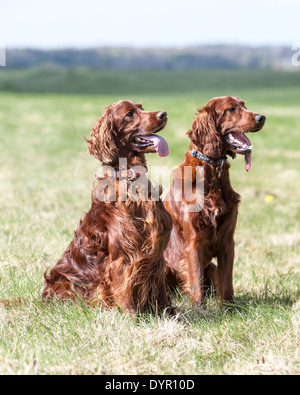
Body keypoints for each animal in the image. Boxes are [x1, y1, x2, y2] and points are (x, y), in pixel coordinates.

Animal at [43, 101, 172, 316]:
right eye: (129, 114)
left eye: (141, 107)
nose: (163, 114)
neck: (131, 179)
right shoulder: (124, 257)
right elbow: (125, 293)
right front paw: (132, 320)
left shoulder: (156, 254)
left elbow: (163, 294)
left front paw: (172, 315)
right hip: (64, 281)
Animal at [164, 96, 264, 306]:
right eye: (231, 109)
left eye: (244, 105)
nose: (262, 117)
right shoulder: (193, 244)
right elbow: (196, 283)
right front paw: (199, 310)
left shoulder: (227, 243)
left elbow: (227, 285)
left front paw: (230, 309)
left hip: (210, 267)